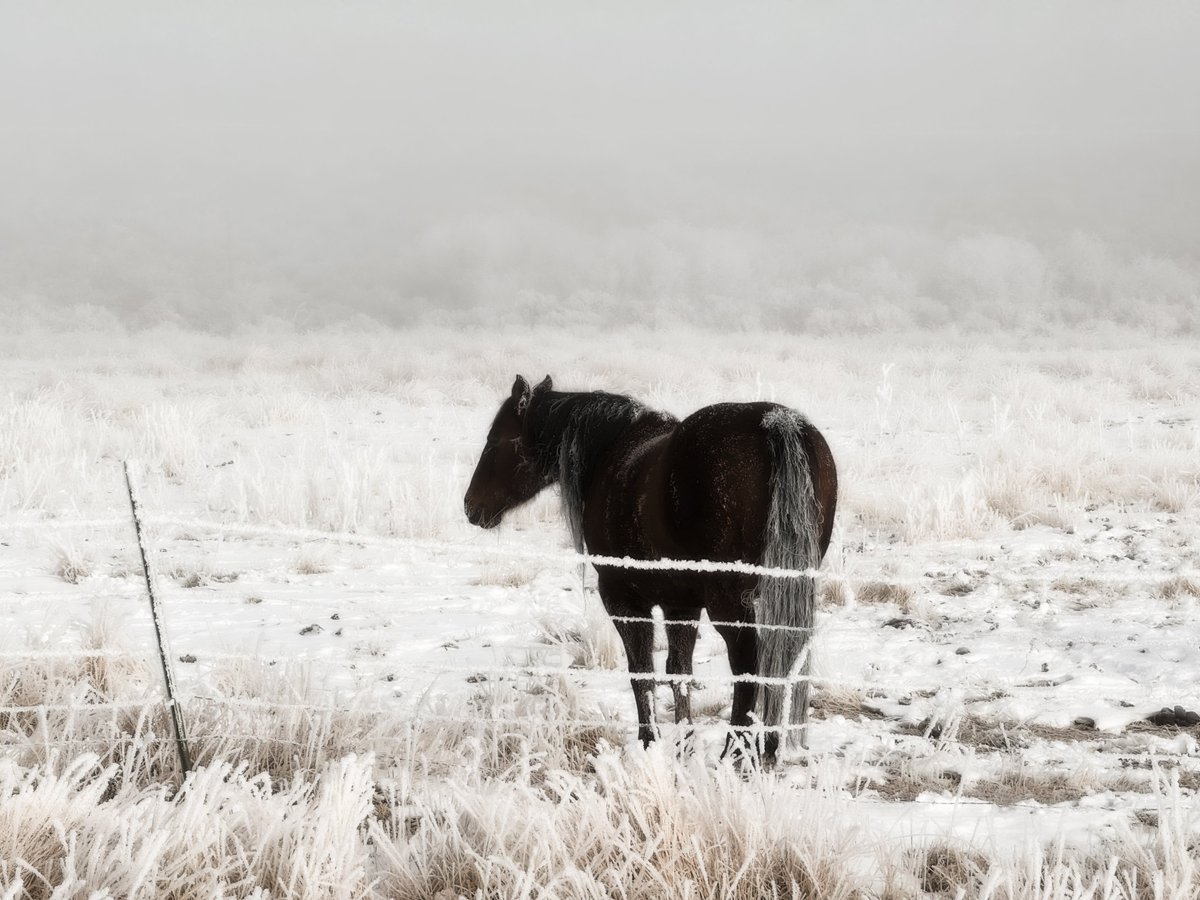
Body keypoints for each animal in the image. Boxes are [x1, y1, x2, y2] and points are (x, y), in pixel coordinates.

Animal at [464, 375, 837, 765]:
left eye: (496, 440)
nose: (471, 506)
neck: (610, 454)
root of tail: (777, 422)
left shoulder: (623, 599)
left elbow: (641, 672)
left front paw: (649, 742)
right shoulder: (681, 603)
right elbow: (678, 671)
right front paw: (684, 745)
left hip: (729, 602)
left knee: (749, 663)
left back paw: (735, 753)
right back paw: (769, 747)